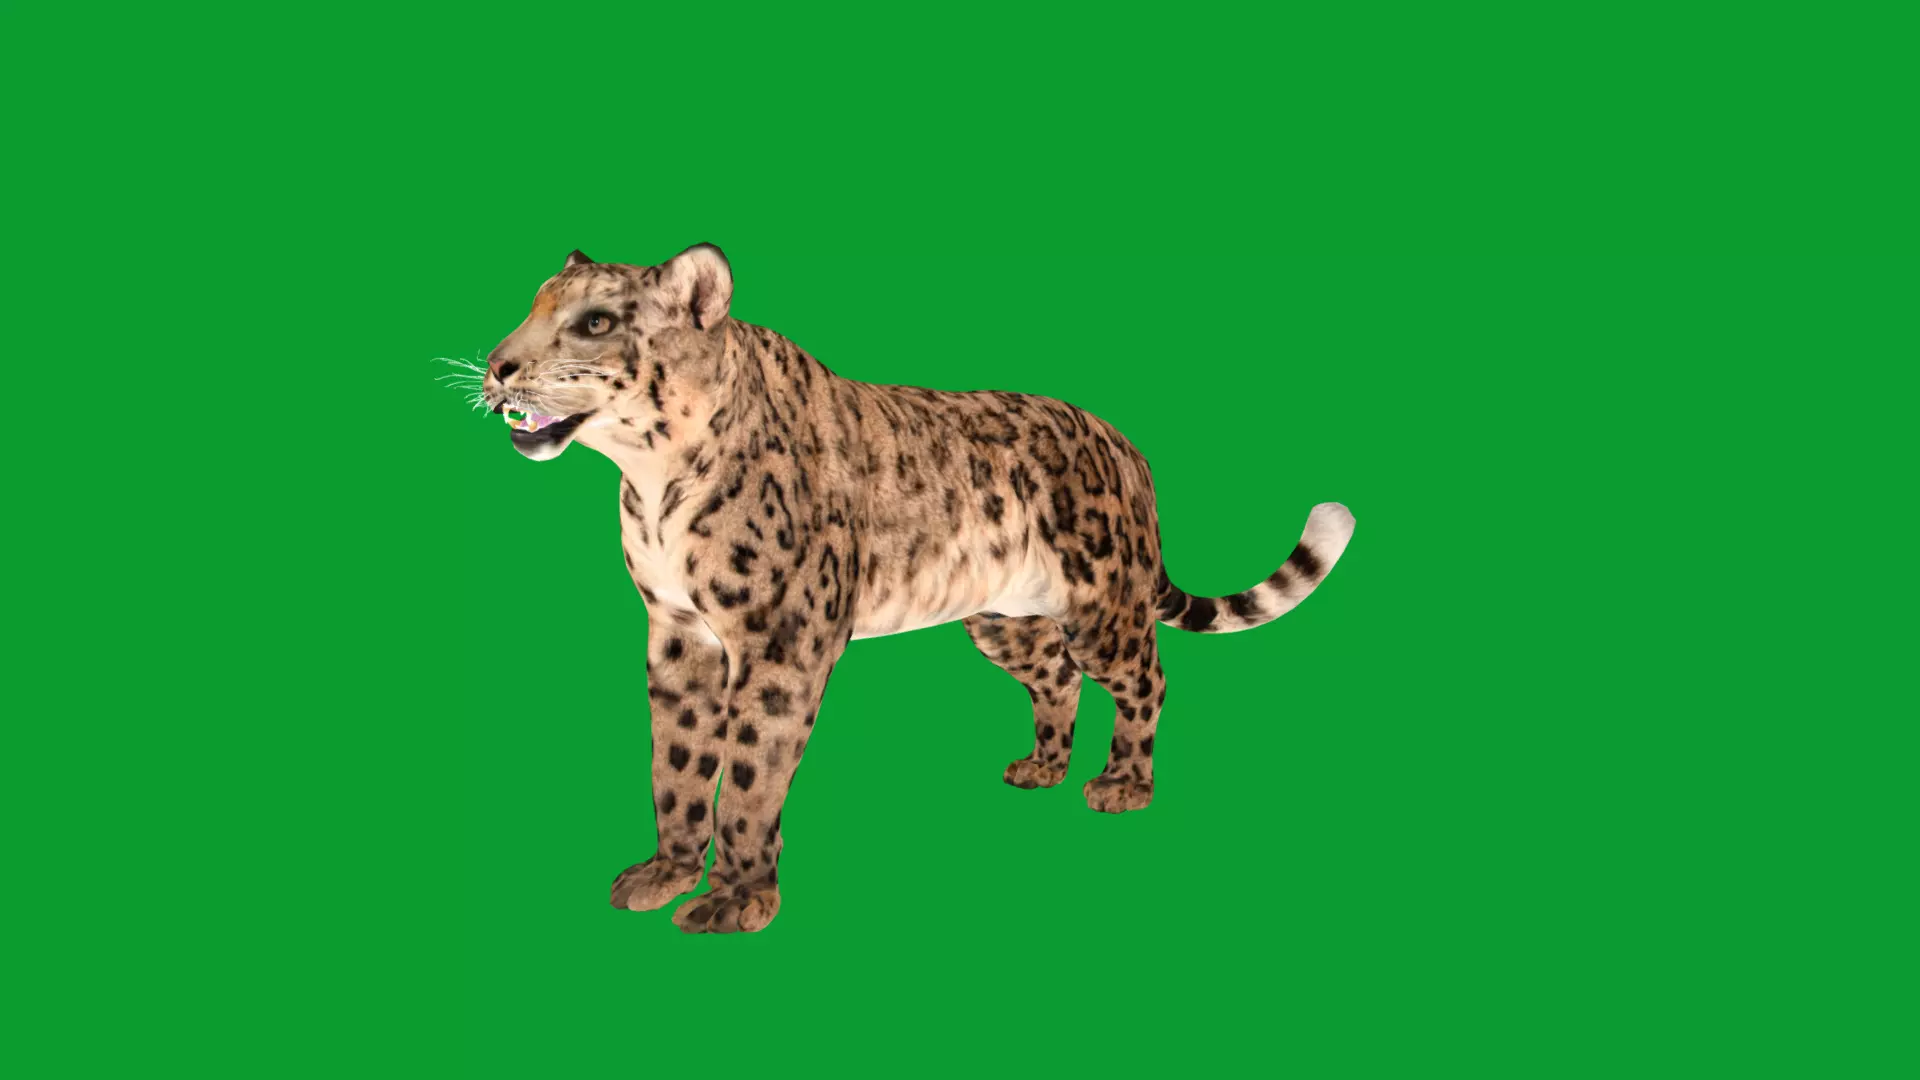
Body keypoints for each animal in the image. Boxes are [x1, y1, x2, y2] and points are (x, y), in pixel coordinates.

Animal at [471, 245, 1356, 933]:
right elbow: (677, 763)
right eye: (536, 303)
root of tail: (1126, 448)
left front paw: (737, 900)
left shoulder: (783, 644)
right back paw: (1043, 766)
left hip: (1101, 604)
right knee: (1056, 677)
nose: (496, 367)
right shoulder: (679, 636)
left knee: (1147, 678)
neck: (653, 484)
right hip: (1004, 620)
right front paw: (666, 872)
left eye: (595, 322)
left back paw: (1123, 785)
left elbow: (750, 774)